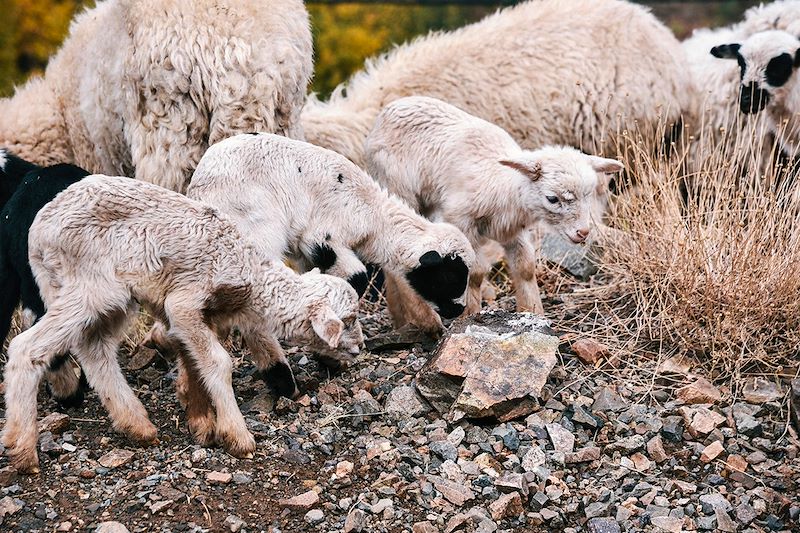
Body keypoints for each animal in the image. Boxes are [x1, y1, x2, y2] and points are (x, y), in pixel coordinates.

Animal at [2, 175, 363, 473]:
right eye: (348, 320)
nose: (360, 348)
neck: (250, 275)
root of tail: (39, 227)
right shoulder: (185, 302)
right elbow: (218, 362)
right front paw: (236, 435)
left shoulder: (197, 316)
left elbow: (193, 360)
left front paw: (201, 421)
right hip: (89, 287)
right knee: (27, 348)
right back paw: (22, 448)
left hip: (103, 296)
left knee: (95, 351)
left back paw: (136, 425)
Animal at [186, 132, 476, 334]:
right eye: (451, 274)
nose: (458, 309)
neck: (375, 217)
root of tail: (199, 186)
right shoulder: (323, 237)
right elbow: (356, 279)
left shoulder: (308, 252)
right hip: (254, 225)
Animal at [365, 96, 624, 315]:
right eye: (552, 198)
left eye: (588, 194)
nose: (583, 232)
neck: (504, 186)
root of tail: (391, 108)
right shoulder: (461, 221)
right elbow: (475, 272)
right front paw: (470, 314)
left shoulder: (513, 231)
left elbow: (526, 268)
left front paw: (533, 312)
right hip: (397, 186)